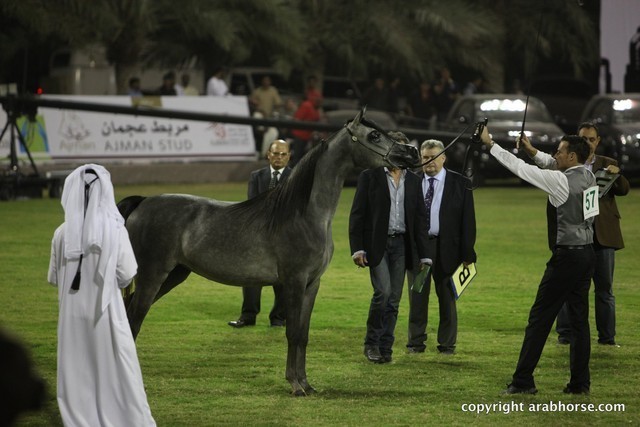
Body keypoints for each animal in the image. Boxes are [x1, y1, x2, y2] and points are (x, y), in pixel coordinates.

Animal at [117, 108, 420, 396]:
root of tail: (143, 202)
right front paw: (296, 386)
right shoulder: (294, 282)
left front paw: (307, 384)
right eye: (374, 136)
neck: (303, 214)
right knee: (134, 319)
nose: (411, 152)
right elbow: (293, 333)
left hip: (174, 275)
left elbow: (304, 335)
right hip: (152, 276)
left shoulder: (312, 284)